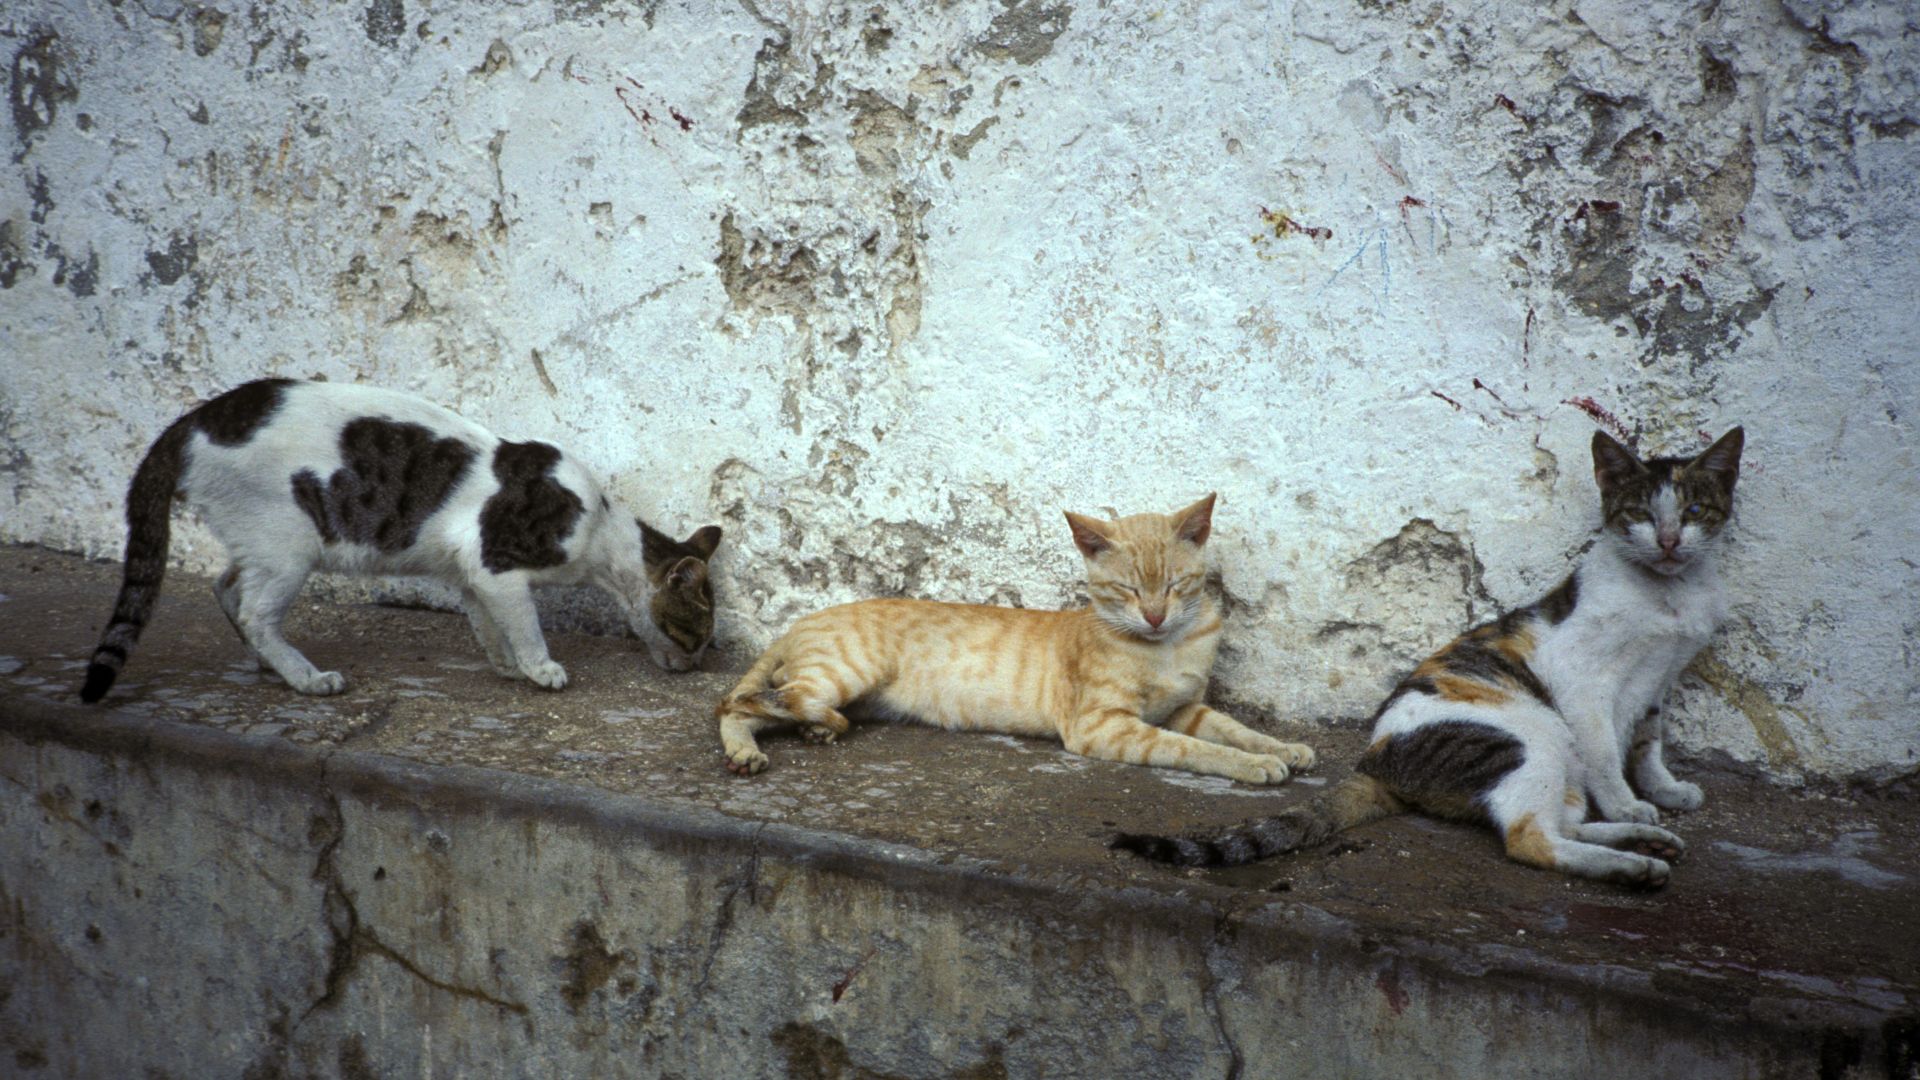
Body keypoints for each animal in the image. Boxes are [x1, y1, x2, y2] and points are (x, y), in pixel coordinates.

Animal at [76, 378, 725, 699]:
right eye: (694, 635)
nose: (695, 667)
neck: (601, 528)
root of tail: (190, 422)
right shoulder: (497, 566)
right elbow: (526, 626)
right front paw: (541, 670)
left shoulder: (473, 577)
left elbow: (490, 629)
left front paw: (509, 668)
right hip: (289, 546)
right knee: (258, 611)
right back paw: (306, 678)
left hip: (260, 543)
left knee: (226, 588)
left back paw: (270, 664)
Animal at [721, 491, 1320, 776]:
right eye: (1127, 590)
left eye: (1174, 585)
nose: (1154, 616)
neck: (1167, 647)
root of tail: (800, 620)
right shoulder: (1103, 725)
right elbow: (1193, 750)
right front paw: (1255, 767)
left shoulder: (1185, 709)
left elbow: (1234, 730)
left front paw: (1283, 748)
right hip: (841, 675)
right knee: (740, 703)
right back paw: (759, 748)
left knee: (766, 705)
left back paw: (801, 735)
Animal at [1121, 424, 1751, 887]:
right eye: (1640, 514)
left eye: (1694, 511)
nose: (1668, 541)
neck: (1667, 597)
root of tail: (1374, 759)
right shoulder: (1584, 682)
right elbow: (1605, 752)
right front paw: (1627, 804)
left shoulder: (1659, 679)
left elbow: (1647, 740)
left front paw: (1663, 791)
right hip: (1532, 738)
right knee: (1531, 838)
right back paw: (1634, 865)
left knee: (1560, 824)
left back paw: (1645, 845)